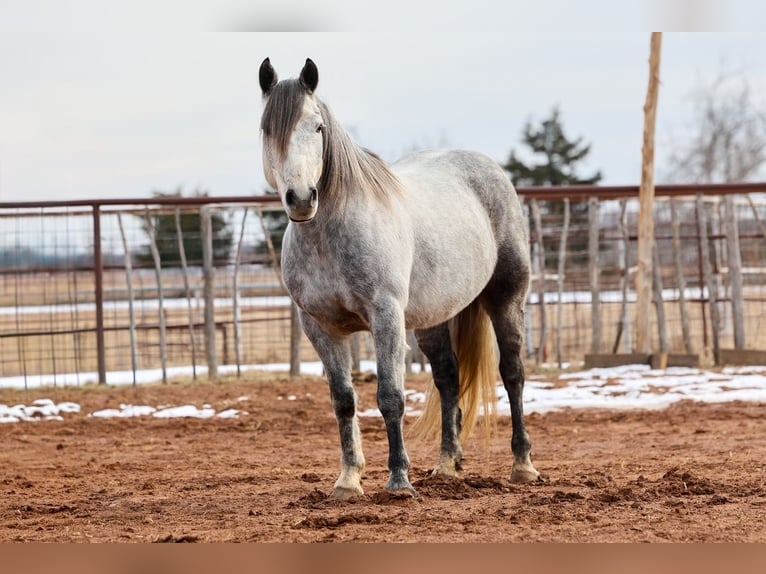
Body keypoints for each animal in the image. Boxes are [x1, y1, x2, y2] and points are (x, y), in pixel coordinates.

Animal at [258, 57, 539, 499]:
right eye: (267, 129)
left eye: (318, 127)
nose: (301, 199)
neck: (330, 237)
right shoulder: (319, 327)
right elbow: (344, 401)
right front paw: (348, 480)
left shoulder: (385, 316)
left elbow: (390, 396)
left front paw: (398, 480)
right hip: (435, 317)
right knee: (448, 378)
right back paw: (447, 465)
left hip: (507, 297)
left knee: (513, 373)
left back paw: (523, 464)